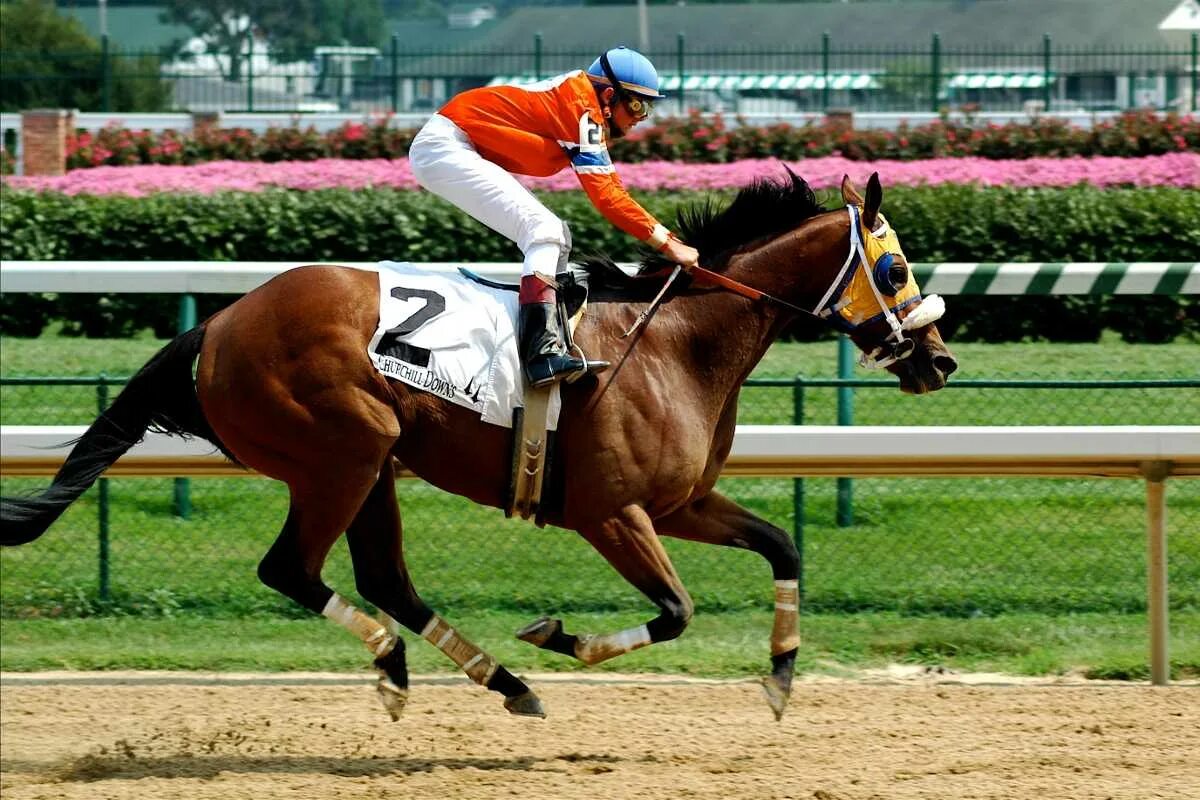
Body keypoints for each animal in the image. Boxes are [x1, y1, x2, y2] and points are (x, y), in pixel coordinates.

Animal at [0, 172, 955, 724]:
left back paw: (491, 680)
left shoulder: (681, 502)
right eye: (896, 268)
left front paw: (783, 675)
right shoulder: (611, 513)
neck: (675, 341)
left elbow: (782, 545)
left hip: (372, 464)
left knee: (383, 576)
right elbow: (677, 609)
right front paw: (556, 635)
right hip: (344, 449)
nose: (940, 359)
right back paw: (416, 664)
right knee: (291, 569)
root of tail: (221, 325)